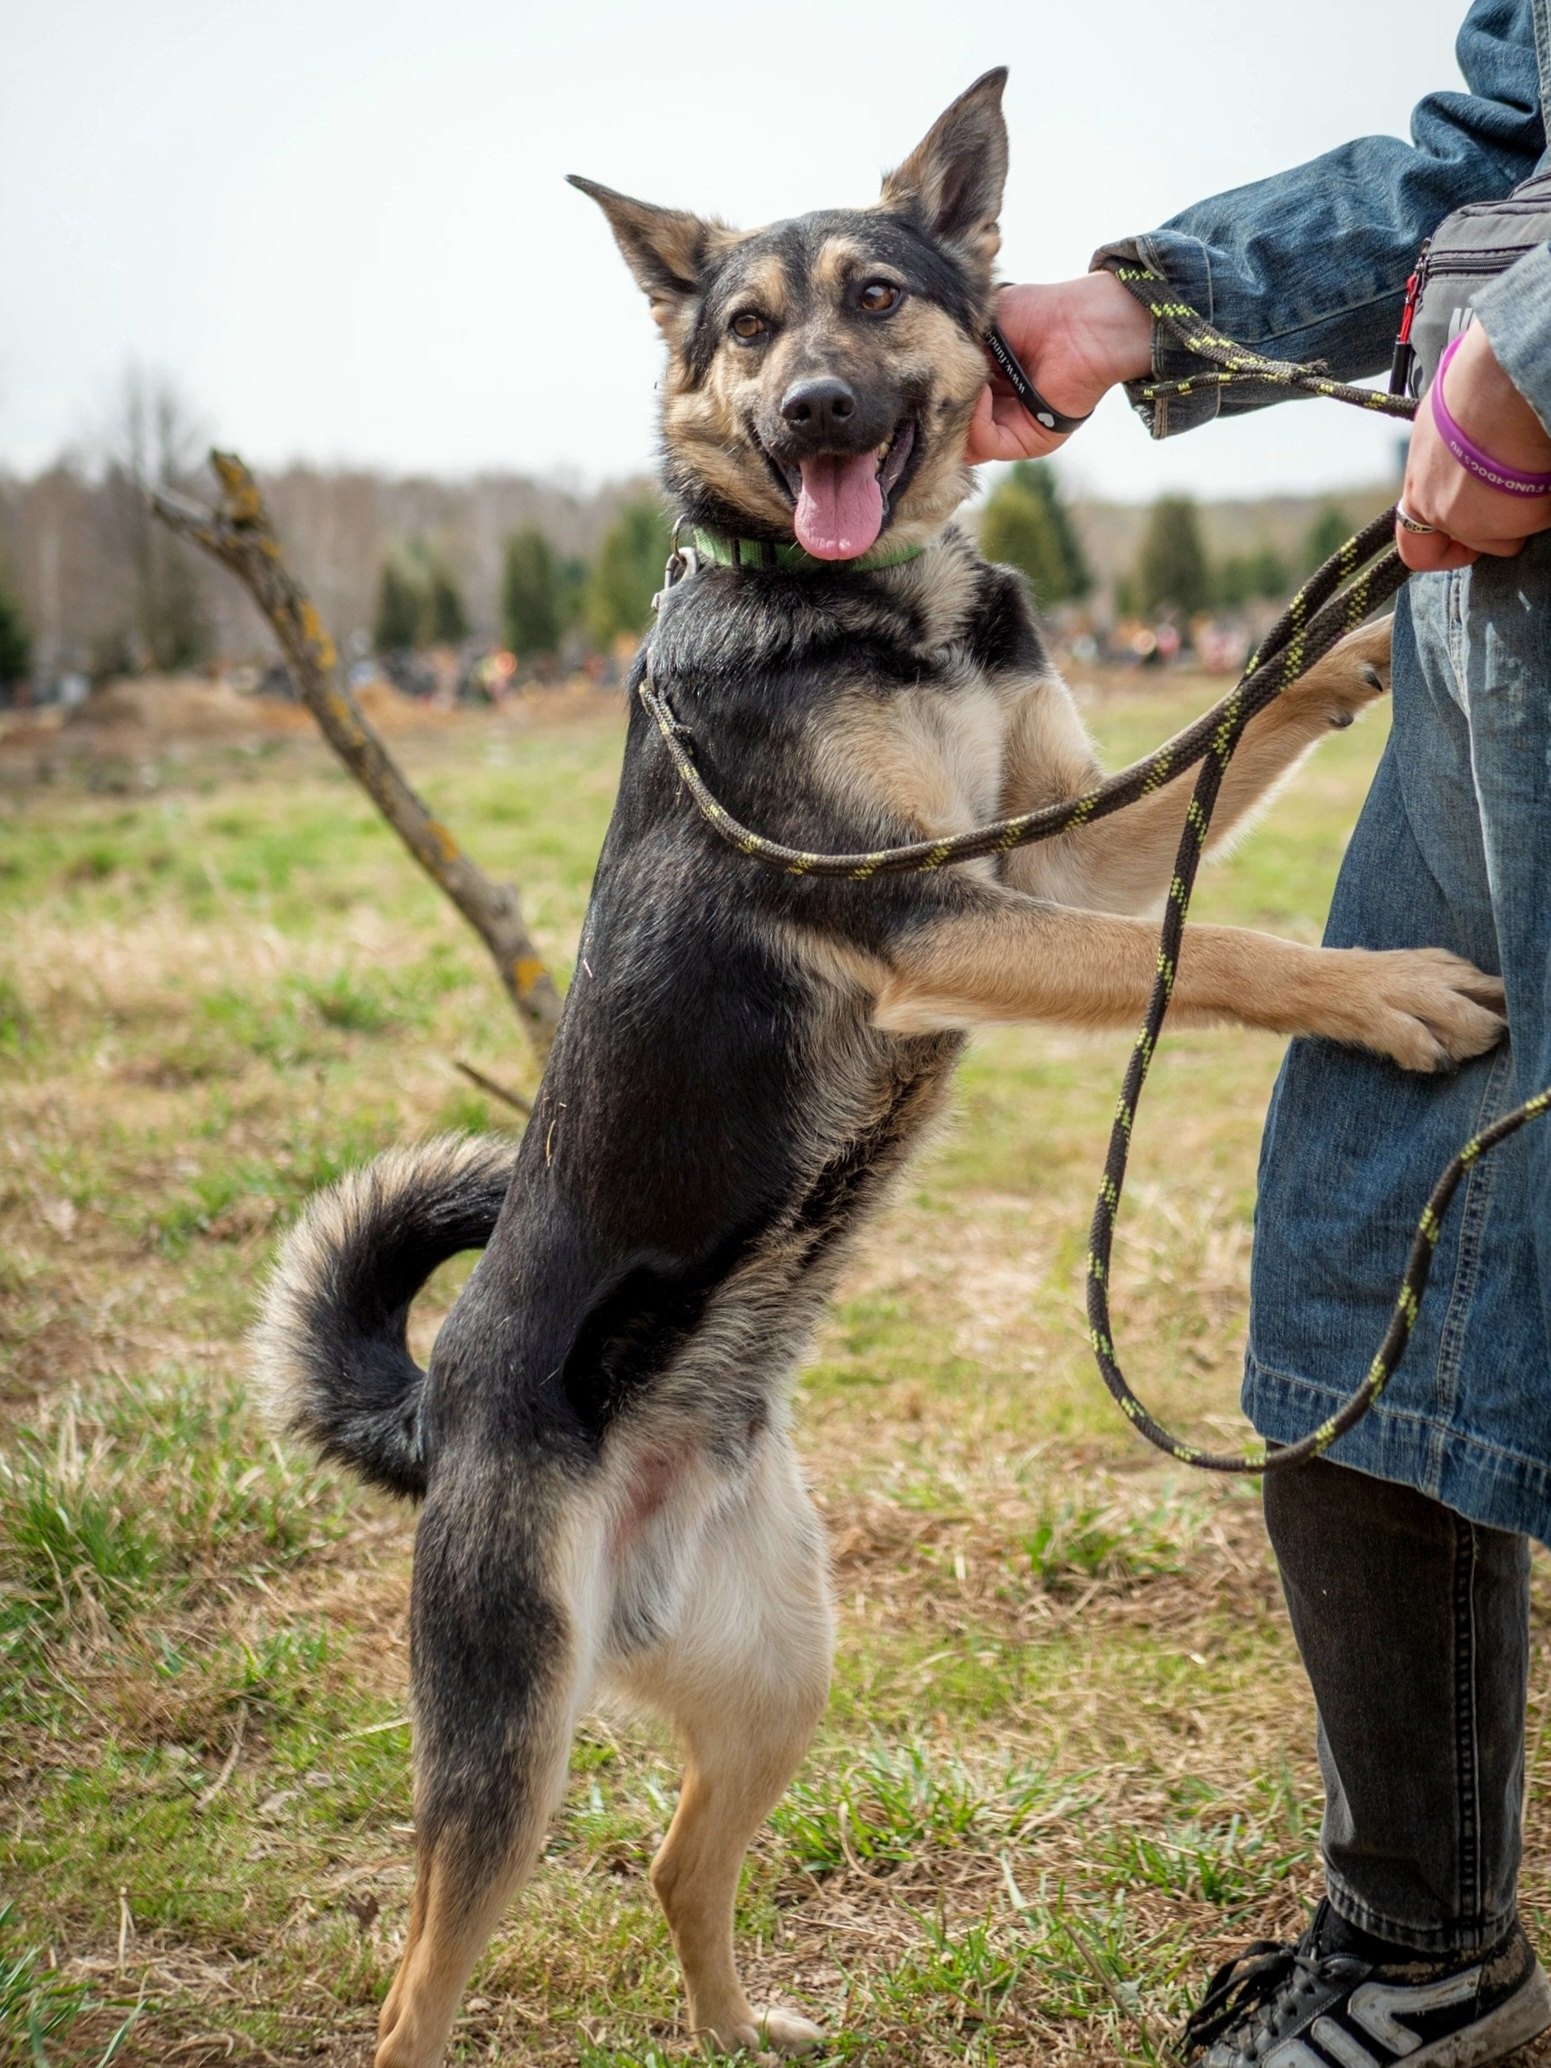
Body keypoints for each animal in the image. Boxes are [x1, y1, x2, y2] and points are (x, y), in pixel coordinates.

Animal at [252, 64, 1505, 2068]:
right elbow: (1227, 953)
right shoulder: (935, 913)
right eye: (745, 332)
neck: (870, 606)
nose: (812, 413)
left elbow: (1214, 753)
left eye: (871, 299)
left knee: (676, 1866)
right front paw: (1382, 991)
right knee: (418, 1984)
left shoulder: (1055, 861)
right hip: (508, 1743)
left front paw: (1371, 626)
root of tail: (437, 1416)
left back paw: (742, 2029)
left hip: (783, 1665)